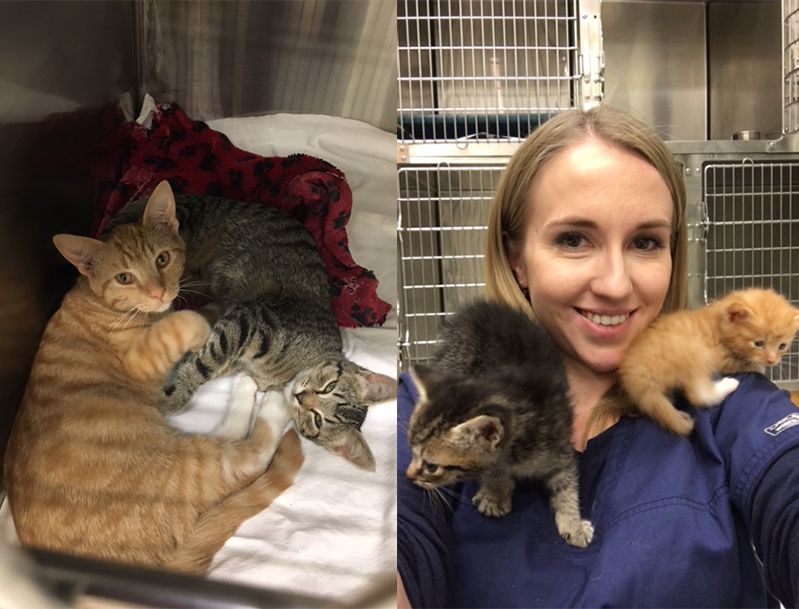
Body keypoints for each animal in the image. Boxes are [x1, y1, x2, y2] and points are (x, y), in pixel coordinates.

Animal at [3, 183, 304, 572]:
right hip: (186, 466)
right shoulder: (140, 358)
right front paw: (199, 323)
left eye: (162, 259)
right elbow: (184, 322)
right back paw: (269, 399)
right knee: (248, 457)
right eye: (124, 277)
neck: (99, 302)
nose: (158, 293)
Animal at [108, 180, 396, 470]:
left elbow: (200, 359)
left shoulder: (234, 346)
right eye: (329, 387)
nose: (302, 397)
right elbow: (204, 363)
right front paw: (172, 398)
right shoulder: (250, 321)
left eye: (317, 419)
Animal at [406, 300, 592, 548]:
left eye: (431, 466)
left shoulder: (560, 445)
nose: (408, 476)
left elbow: (566, 485)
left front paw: (574, 523)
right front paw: (495, 494)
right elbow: (495, 470)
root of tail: (475, 310)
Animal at [616, 288, 796, 434]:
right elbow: (744, 363)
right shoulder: (720, 357)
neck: (718, 325)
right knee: (698, 395)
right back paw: (728, 385)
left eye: (782, 346)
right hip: (694, 351)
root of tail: (635, 377)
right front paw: (759, 368)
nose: (772, 360)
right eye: (758, 344)